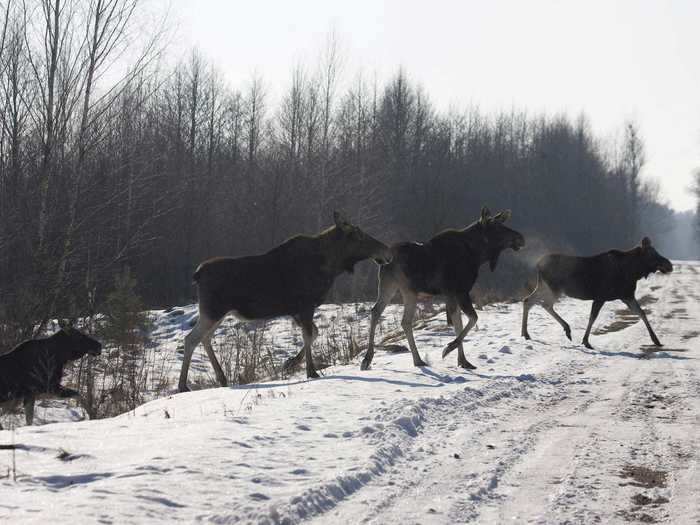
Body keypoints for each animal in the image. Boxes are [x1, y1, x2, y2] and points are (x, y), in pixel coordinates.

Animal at [178, 211, 392, 390]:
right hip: (213, 311)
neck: (332, 265)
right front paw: (311, 371)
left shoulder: (297, 311)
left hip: (218, 313)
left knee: (204, 338)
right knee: (191, 339)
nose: (387, 252)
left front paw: (290, 363)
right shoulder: (305, 306)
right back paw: (183, 385)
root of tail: (197, 274)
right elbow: (308, 335)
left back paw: (222, 379)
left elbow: (313, 334)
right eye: (360, 235)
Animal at [364, 207, 524, 370]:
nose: (520, 238)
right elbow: (472, 319)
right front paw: (449, 348)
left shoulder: (451, 294)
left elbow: (458, 323)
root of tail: (385, 259)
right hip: (407, 290)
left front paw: (463, 361)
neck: (478, 254)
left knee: (378, 312)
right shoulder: (460, 291)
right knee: (402, 320)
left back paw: (371, 358)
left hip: (391, 286)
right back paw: (414, 359)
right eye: (496, 227)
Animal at [524, 237, 676, 348]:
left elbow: (641, 313)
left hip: (545, 286)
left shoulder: (627, 295)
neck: (633, 271)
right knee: (544, 304)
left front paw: (656, 340)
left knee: (528, 300)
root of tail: (538, 264)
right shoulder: (601, 297)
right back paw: (565, 329)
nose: (669, 265)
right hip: (554, 289)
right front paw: (586, 341)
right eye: (652, 254)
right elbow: (593, 317)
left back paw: (526, 333)